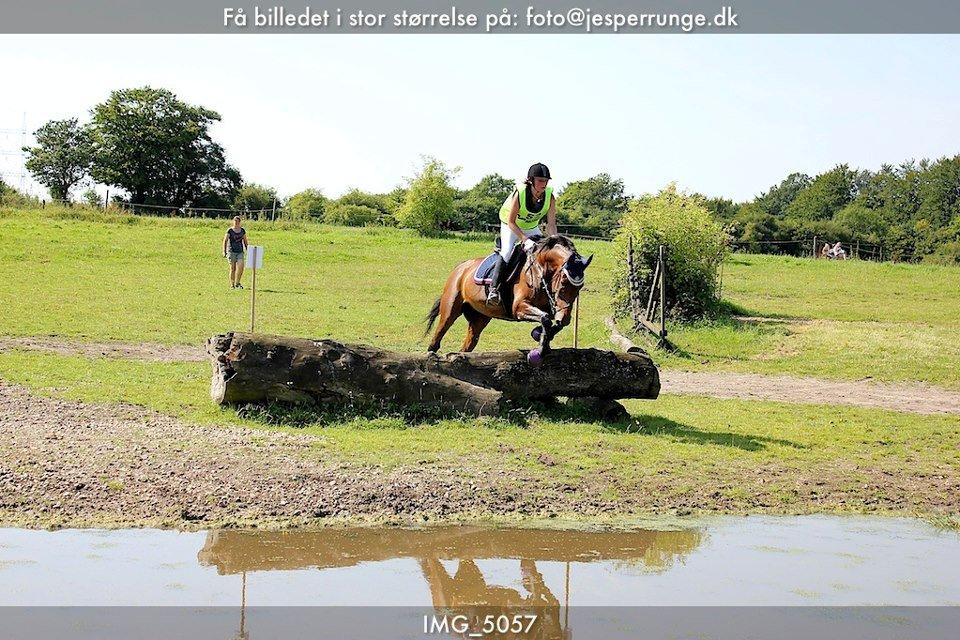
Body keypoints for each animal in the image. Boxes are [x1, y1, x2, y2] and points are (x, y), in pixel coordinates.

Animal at [426, 235, 592, 356]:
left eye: (580, 287)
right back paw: (431, 356)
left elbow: (552, 323)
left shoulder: (552, 307)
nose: (565, 317)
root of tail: (461, 267)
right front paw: (541, 347)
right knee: (437, 337)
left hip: (479, 317)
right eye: (563, 281)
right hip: (450, 309)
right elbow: (545, 318)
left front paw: (541, 337)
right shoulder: (519, 307)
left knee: (468, 345)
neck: (541, 270)